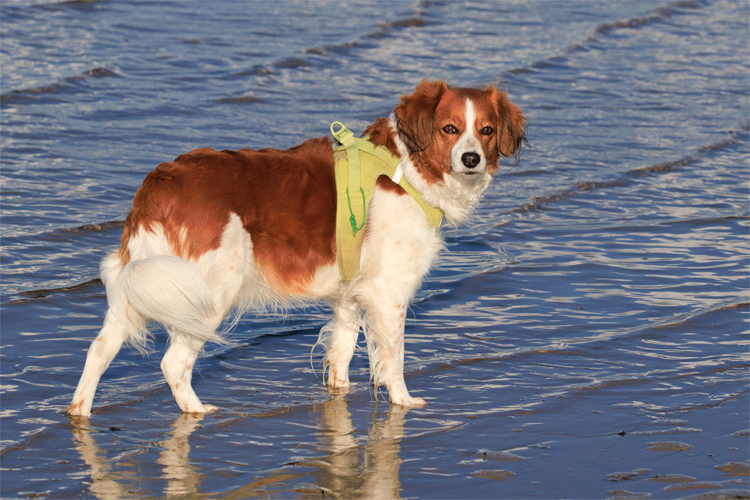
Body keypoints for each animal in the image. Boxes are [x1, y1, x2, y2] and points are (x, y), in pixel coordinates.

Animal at [67, 78, 524, 416]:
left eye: (485, 131)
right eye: (450, 129)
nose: (471, 159)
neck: (407, 168)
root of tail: (161, 180)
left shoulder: (350, 293)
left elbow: (342, 349)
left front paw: (340, 395)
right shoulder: (387, 292)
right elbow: (393, 356)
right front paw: (403, 401)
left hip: (146, 281)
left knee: (100, 348)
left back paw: (80, 413)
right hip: (207, 290)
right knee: (173, 362)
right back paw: (197, 411)